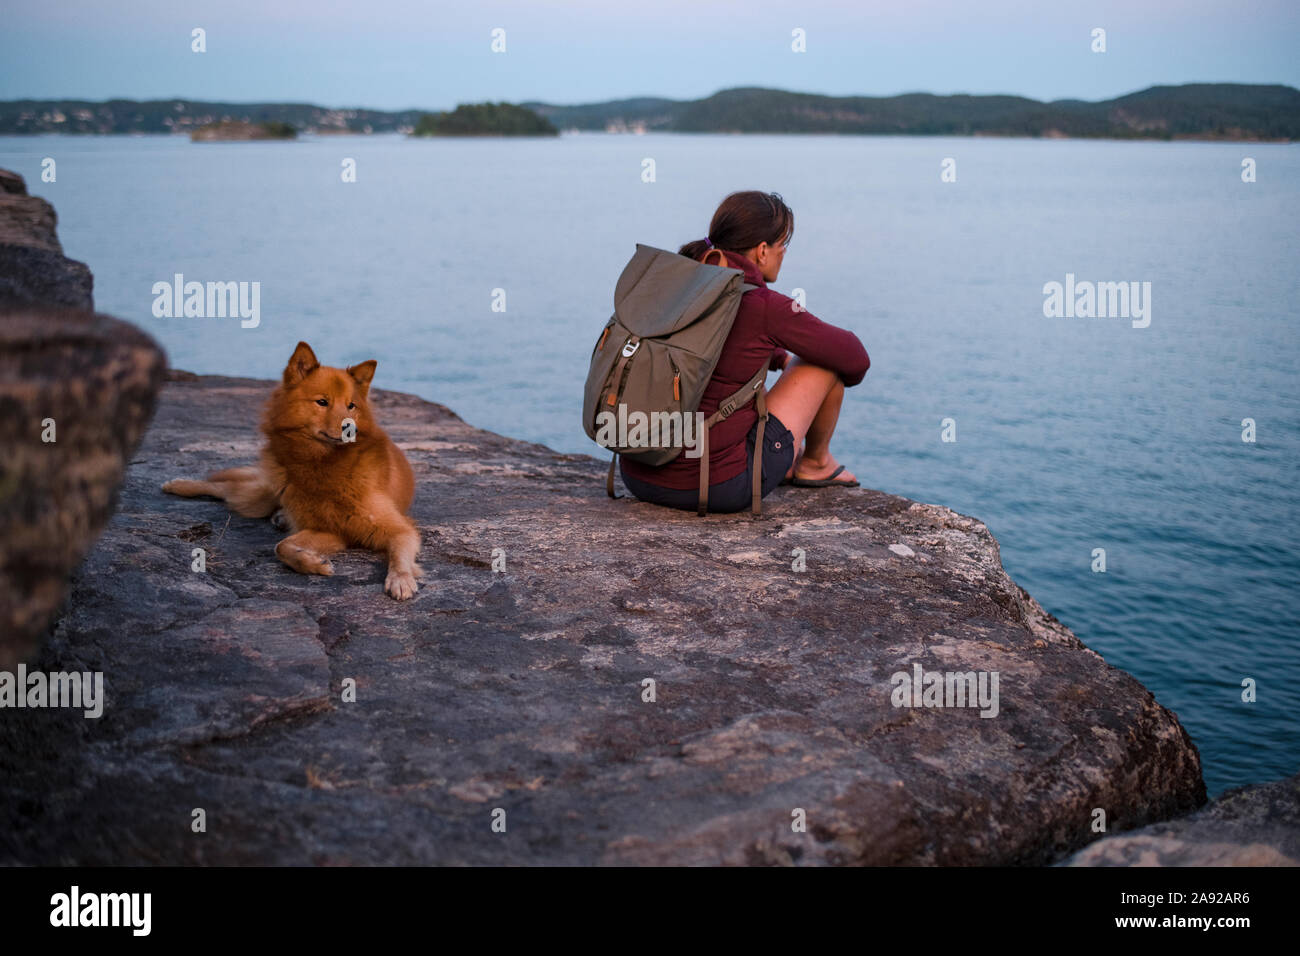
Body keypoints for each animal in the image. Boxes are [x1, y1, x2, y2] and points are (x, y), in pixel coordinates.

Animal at [163, 343, 421, 598]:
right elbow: (281, 547)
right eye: (322, 402)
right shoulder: (326, 528)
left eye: (351, 405)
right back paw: (178, 484)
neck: (324, 464)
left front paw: (401, 579)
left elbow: (399, 555)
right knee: (223, 487)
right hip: (259, 497)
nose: (351, 428)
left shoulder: (381, 530)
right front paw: (315, 564)